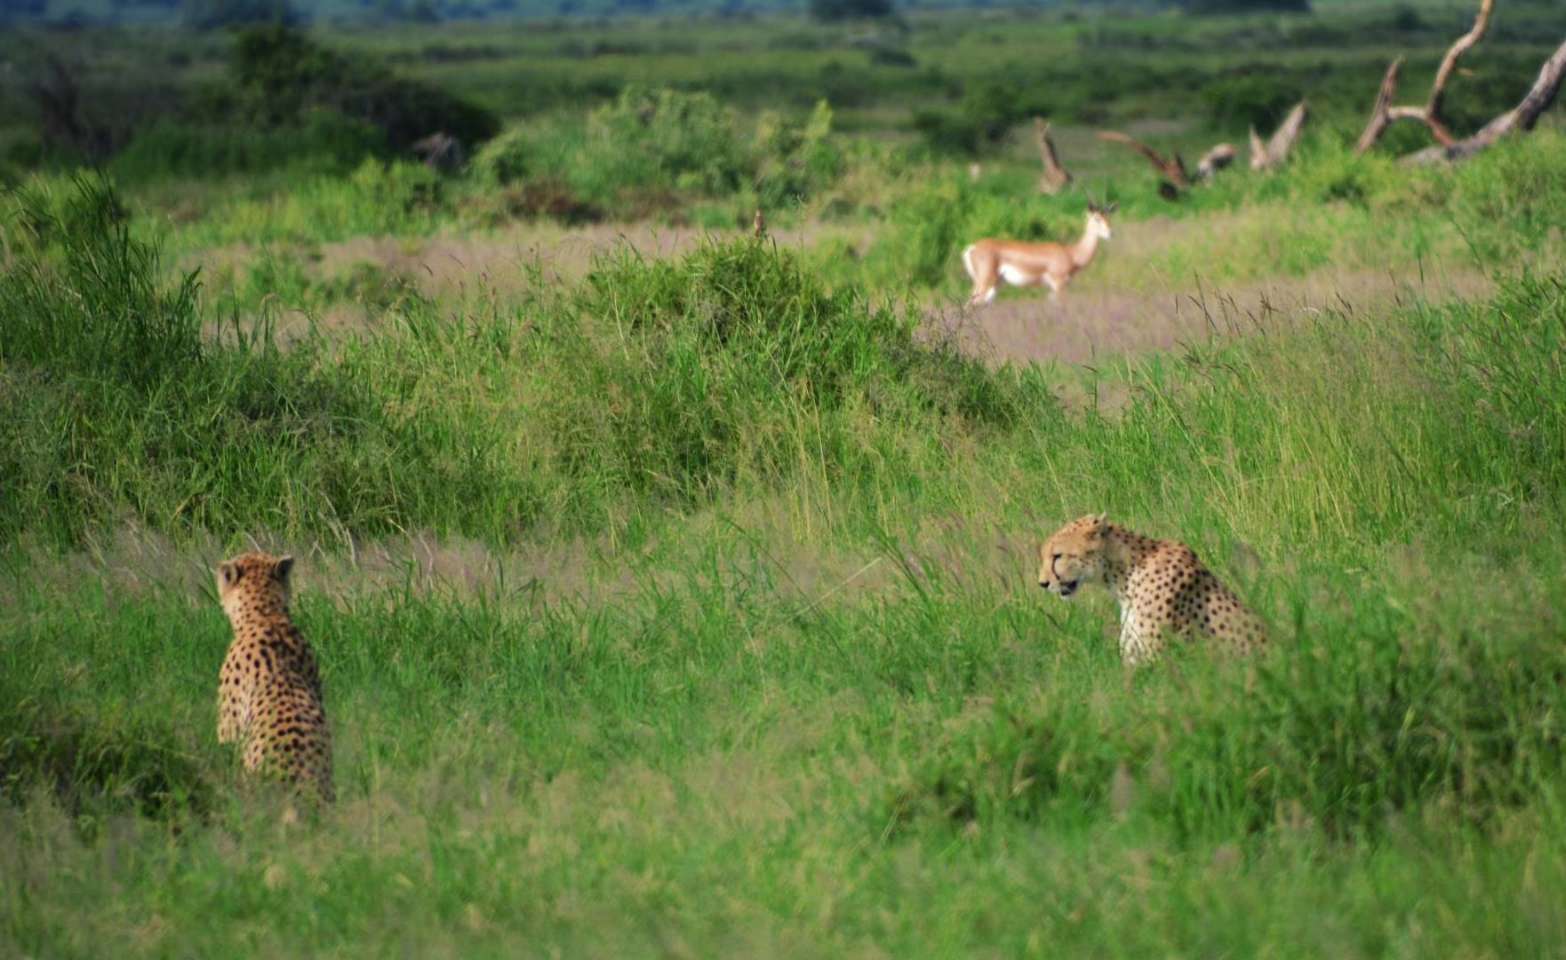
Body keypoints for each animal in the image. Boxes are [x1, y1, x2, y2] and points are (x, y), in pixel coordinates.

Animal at [952, 202, 1114, 306]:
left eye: (1108, 218)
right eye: (1097, 219)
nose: (1110, 233)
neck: (1071, 253)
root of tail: (972, 248)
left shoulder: (1052, 289)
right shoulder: (1059, 284)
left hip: (993, 284)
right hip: (984, 282)